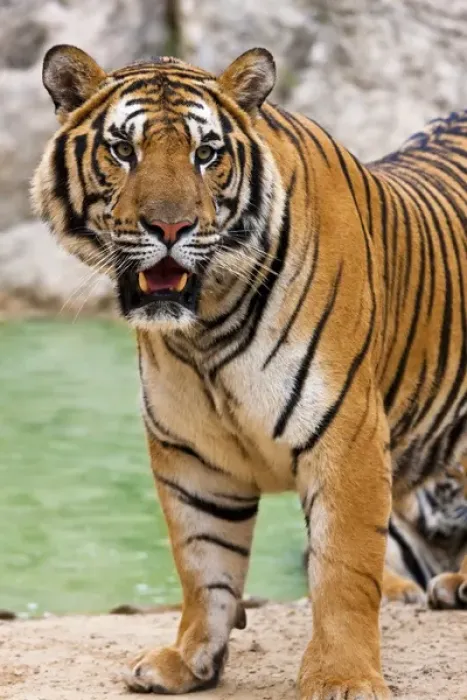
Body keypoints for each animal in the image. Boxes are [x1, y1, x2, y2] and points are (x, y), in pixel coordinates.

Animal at [32, 44, 467, 699]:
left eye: (206, 154)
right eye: (124, 150)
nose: (169, 229)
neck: (205, 328)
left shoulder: (349, 438)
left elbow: (343, 570)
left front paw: (342, 677)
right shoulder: (191, 452)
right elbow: (203, 562)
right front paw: (189, 661)